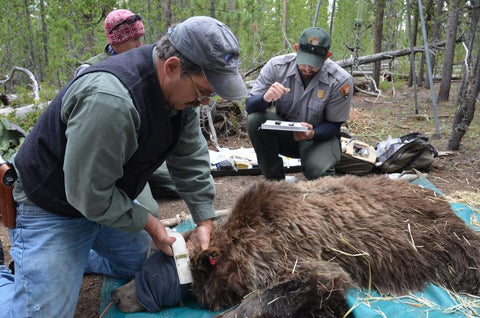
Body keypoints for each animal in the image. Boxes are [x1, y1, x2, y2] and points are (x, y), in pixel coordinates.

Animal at [110, 175, 480, 316]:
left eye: (152, 276)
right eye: (146, 265)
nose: (116, 294)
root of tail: (440, 197)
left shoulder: (292, 252)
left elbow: (308, 283)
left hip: (441, 241)